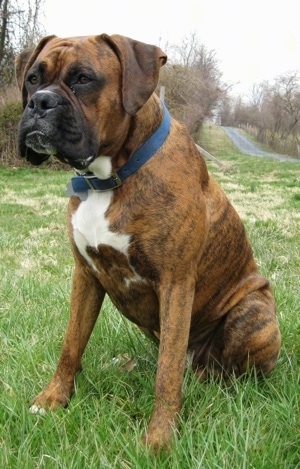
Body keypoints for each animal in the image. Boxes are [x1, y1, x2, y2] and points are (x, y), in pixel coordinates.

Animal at [15, 33, 282, 450]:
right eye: (32, 79)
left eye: (83, 79)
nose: (39, 101)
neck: (108, 177)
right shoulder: (85, 275)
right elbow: (71, 344)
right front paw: (52, 399)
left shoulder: (176, 283)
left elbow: (166, 374)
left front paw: (159, 439)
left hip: (251, 312)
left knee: (228, 372)